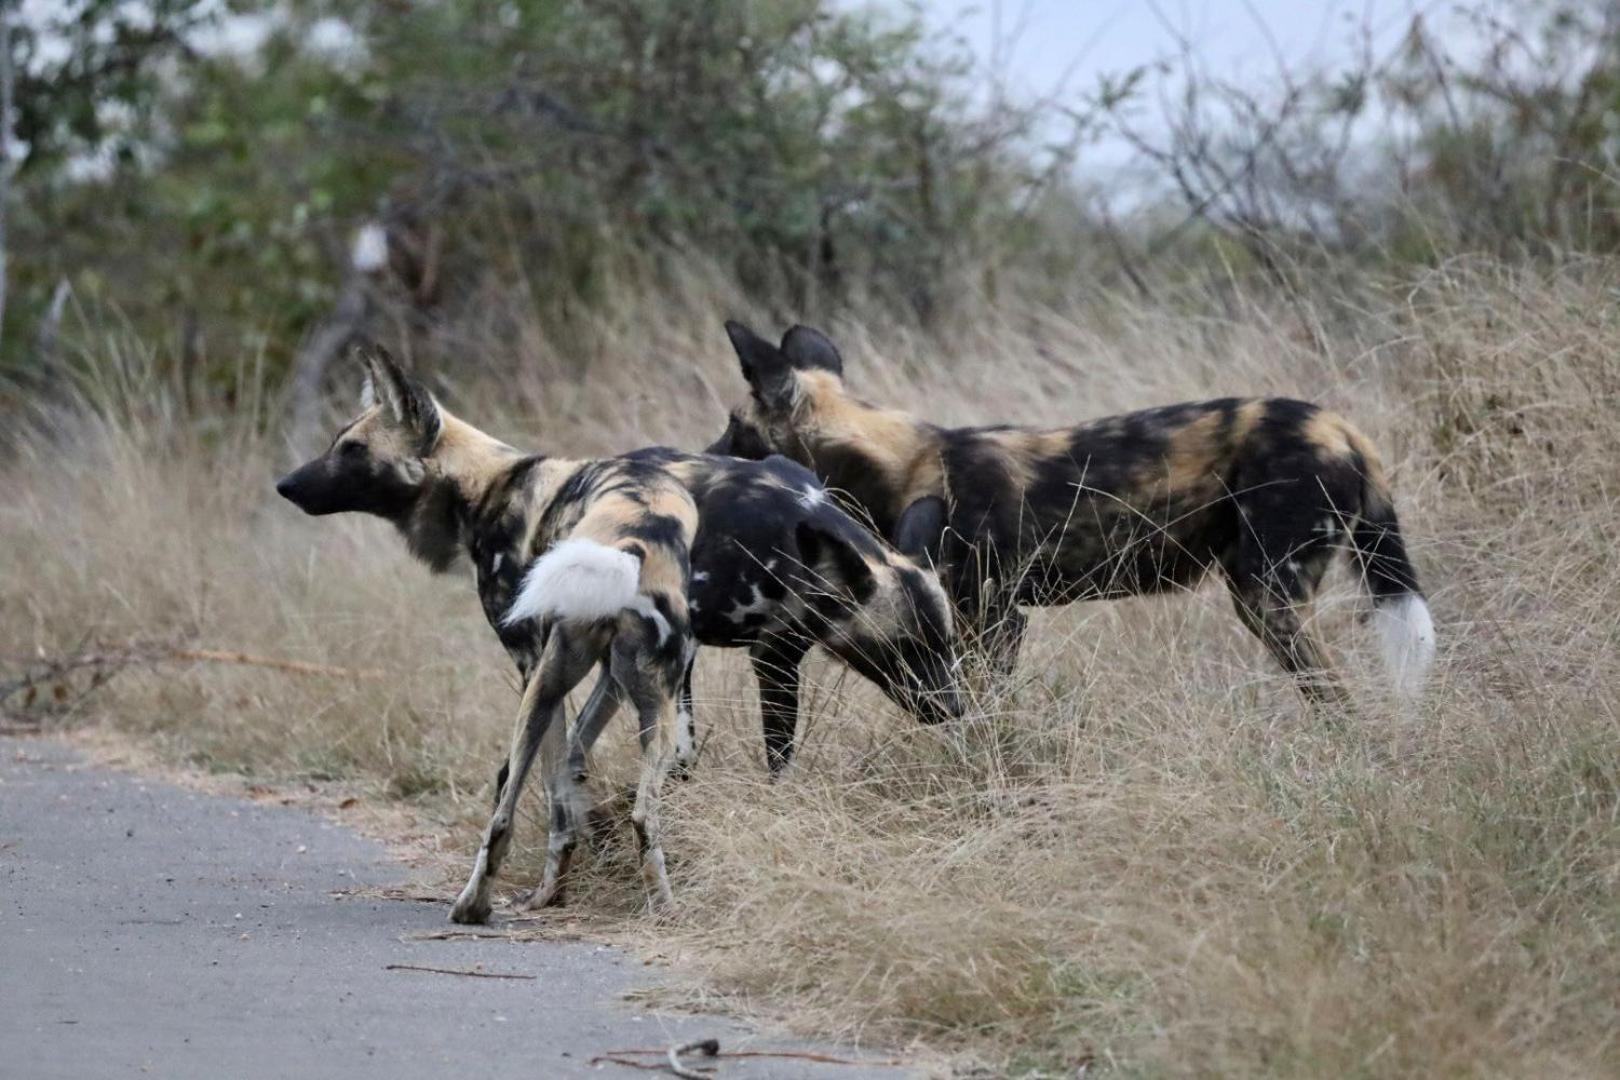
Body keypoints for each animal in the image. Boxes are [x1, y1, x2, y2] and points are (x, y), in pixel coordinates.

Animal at [716, 320, 1438, 702]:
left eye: (734, 427)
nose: (706, 456)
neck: (898, 459)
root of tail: (1341, 428)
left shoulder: (991, 620)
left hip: (1267, 597)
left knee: (1336, 693)